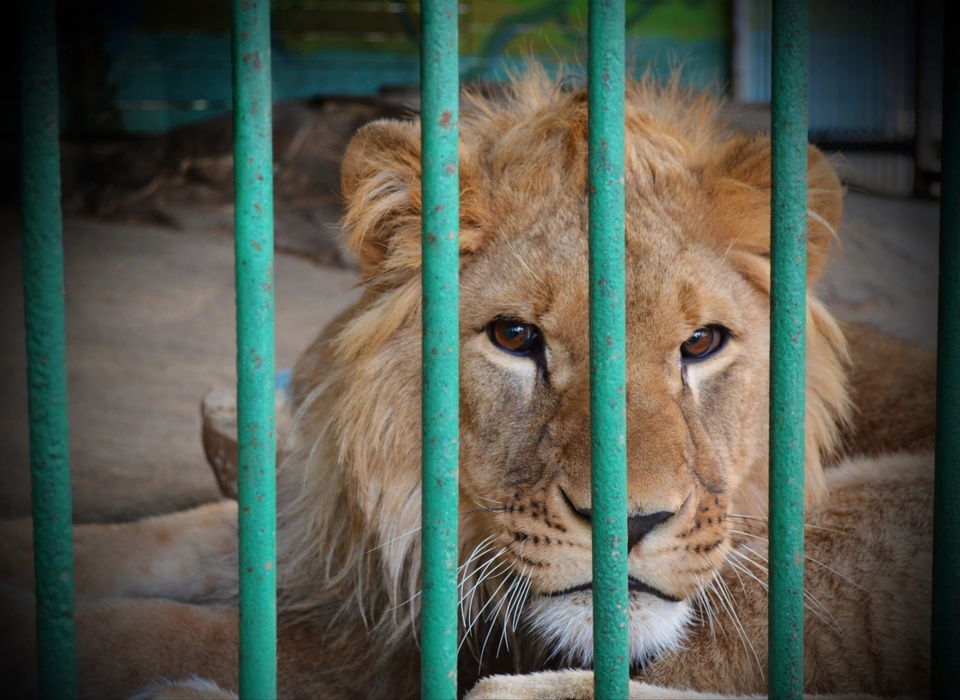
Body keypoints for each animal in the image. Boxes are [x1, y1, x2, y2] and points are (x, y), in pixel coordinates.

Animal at [0, 67, 932, 700]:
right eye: (515, 338)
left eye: (701, 343)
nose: (630, 524)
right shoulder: (320, 540)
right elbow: (172, 537)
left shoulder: (395, 657)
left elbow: (166, 631)